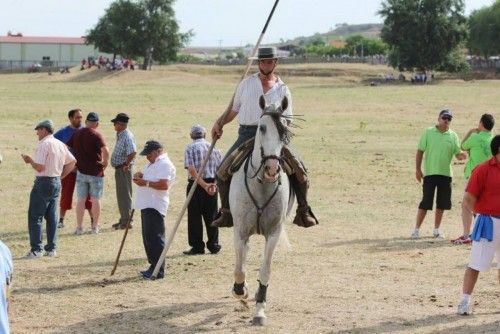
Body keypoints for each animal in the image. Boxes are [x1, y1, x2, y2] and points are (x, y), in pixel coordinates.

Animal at [228, 94, 292, 326]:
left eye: (285, 128)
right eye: (262, 128)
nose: (272, 169)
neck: (262, 184)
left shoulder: (273, 233)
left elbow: (265, 270)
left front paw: (260, 310)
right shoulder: (240, 231)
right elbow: (239, 269)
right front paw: (240, 290)